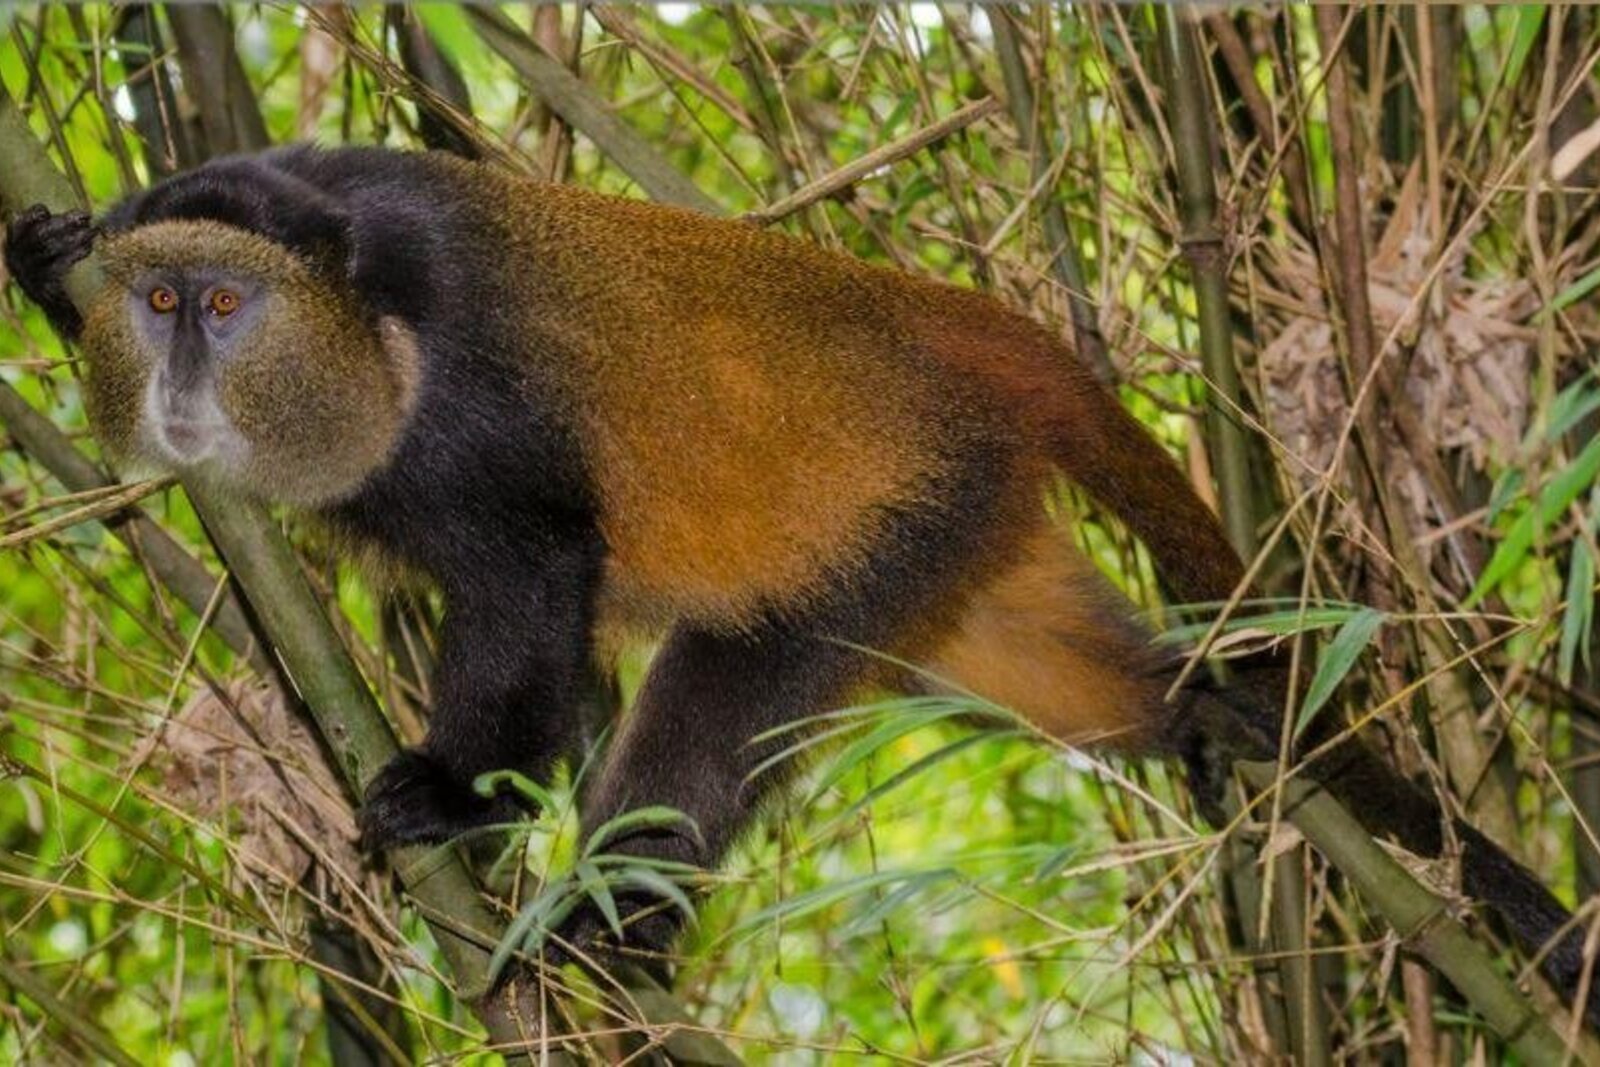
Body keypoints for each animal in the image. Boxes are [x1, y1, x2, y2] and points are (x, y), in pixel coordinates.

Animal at [5, 144, 1596, 1027]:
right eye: (158, 300)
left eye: (224, 304)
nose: (184, 372)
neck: (355, 309)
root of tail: (952, 322)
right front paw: (43, 260)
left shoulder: (464, 408)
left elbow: (539, 580)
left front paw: (449, 796)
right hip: (958, 544)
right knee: (1085, 678)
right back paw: (1211, 714)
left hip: (897, 512)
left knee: (719, 705)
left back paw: (604, 936)